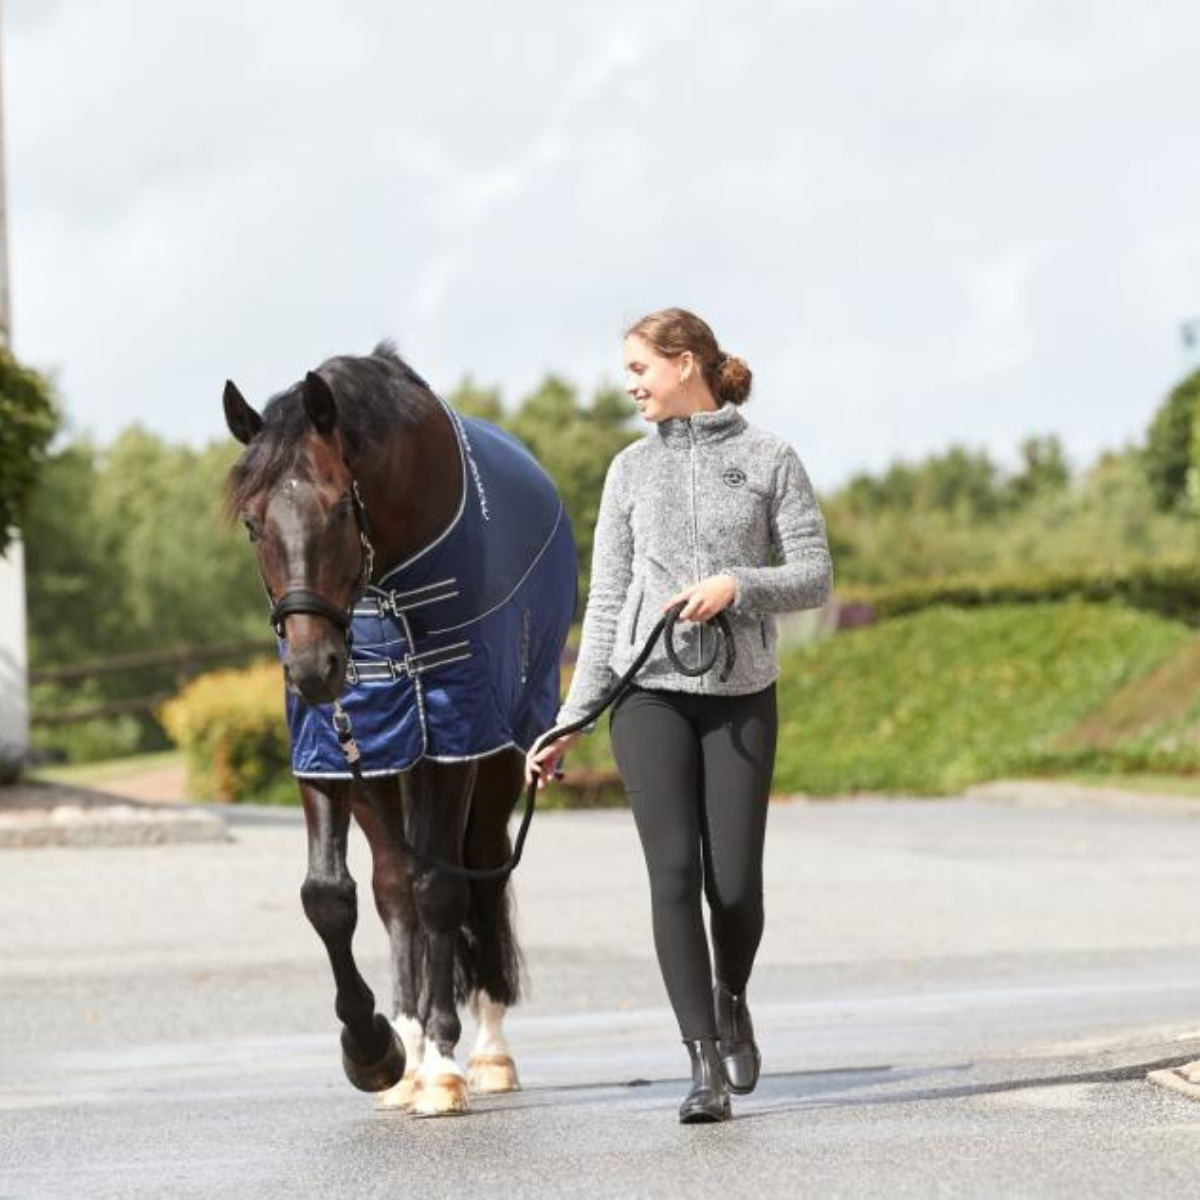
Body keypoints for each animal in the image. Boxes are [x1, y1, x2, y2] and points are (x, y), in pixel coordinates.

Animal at [222, 343, 576, 1116]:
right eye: (253, 522)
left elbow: (441, 890)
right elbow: (331, 898)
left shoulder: (454, 738)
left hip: (495, 762)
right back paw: (408, 1056)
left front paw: (442, 1066)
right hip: (382, 769)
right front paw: (375, 1051)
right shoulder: (330, 750)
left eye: (336, 506)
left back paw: (484, 1053)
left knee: (476, 873)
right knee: (393, 889)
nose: (313, 668)